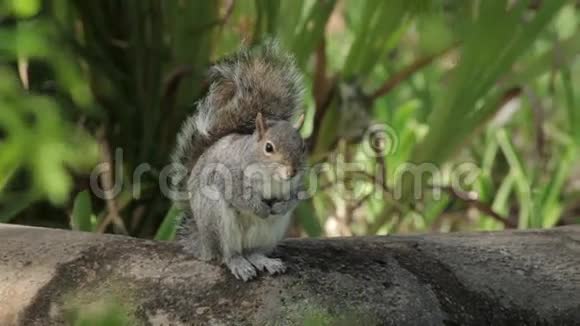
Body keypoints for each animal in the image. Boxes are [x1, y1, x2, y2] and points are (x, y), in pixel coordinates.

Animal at [171, 42, 308, 282]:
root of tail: (203, 243)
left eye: (303, 147)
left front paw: (281, 205)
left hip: (269, 232)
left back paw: (264, 261)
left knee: (252, 251)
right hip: (217, 219)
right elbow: (238, 196)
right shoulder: (228, 174)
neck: (270, 176)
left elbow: (295, 197)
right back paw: (239, 264)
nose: (291, 171)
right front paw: (259, 208)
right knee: (229, 254)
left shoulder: (296, 185)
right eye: (269, 147)